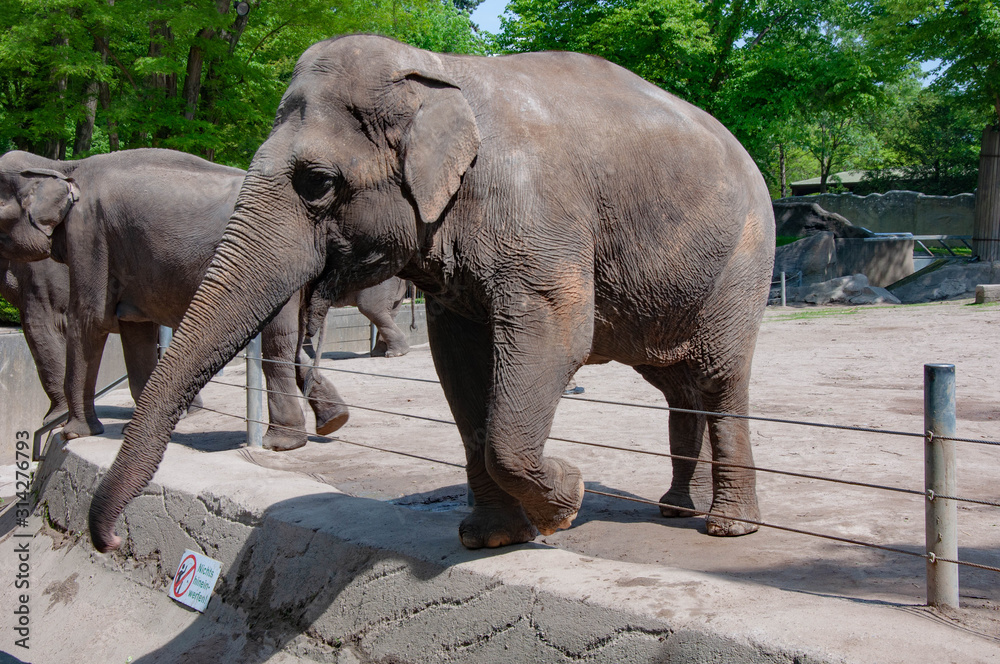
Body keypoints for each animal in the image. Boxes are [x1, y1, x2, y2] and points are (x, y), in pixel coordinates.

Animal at [0, 148, 405, 450]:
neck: (62, 165)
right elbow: (136, 332)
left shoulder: (89, 234)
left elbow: (90, 321)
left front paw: (72, 433)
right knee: (291, 343)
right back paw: (334, 422)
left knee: (279, 340)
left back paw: (282, 442)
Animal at [88, 35, 775, 554]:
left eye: (316, 183)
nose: (115, 540)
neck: (440, 72)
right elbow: (459, 358)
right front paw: (492, 538)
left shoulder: (539, 219)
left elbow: (555, 336)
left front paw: (567, 503)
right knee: (678, 384)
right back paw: (676, 509)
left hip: (744, 261)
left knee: (719, 377)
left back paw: (727, 527)